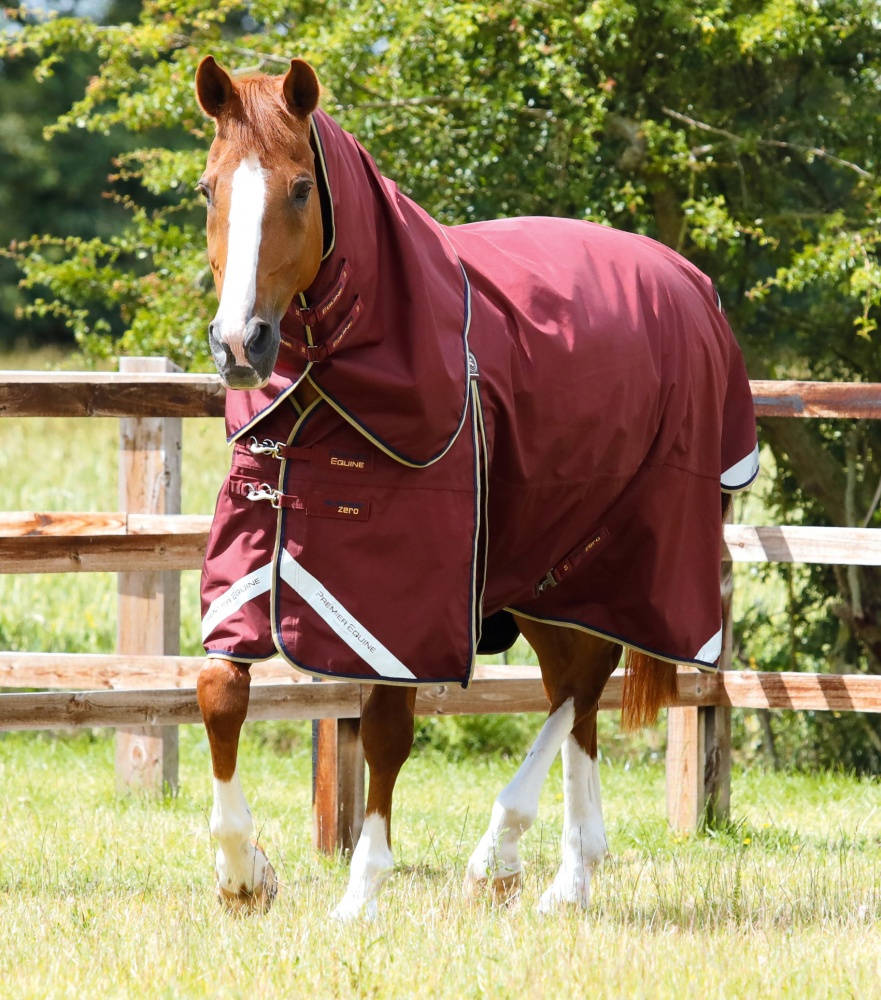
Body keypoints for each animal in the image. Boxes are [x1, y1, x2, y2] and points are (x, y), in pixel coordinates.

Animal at [192, 55, 759, 919]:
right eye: (207, 189)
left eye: (299, 188)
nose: (238, 345)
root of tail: (690, 283)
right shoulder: (255, 559)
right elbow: (218, 689)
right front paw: (242, 874)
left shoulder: (400, 604)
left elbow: (387, 728)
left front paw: (360, 893)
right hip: (543, 566)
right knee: (574, 689)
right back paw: (570, 873)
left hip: (624, 551)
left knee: (580, 683)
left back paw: (505, 853)